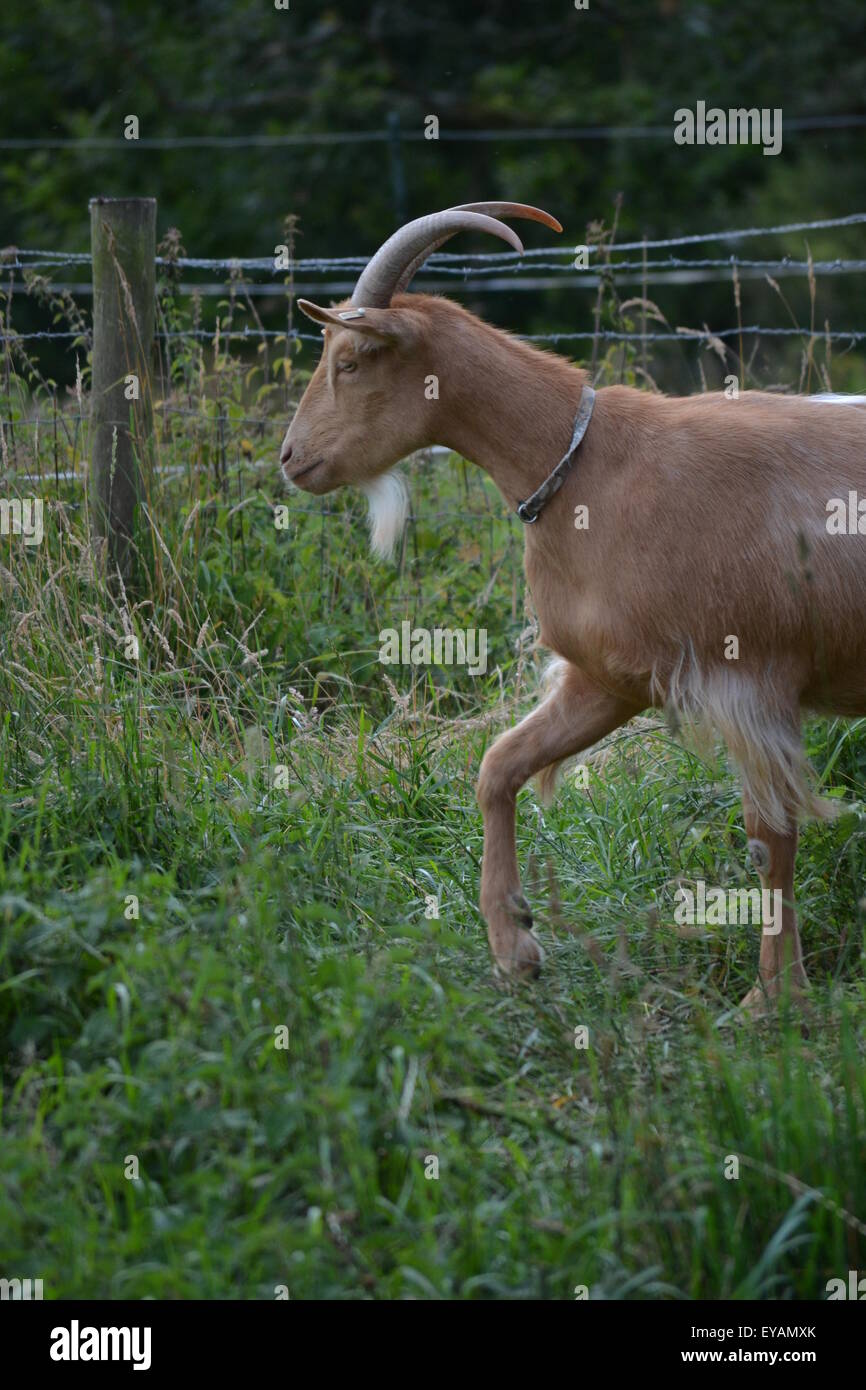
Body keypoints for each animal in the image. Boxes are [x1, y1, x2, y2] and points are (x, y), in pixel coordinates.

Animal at [283, 201, 866, 1017]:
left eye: (351, 360)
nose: (291, 458)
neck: (593, 463)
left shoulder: (752, 677)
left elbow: (769, 837)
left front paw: (773, 1000)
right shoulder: (610, 678)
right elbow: (498, 765)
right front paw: (515, 948)